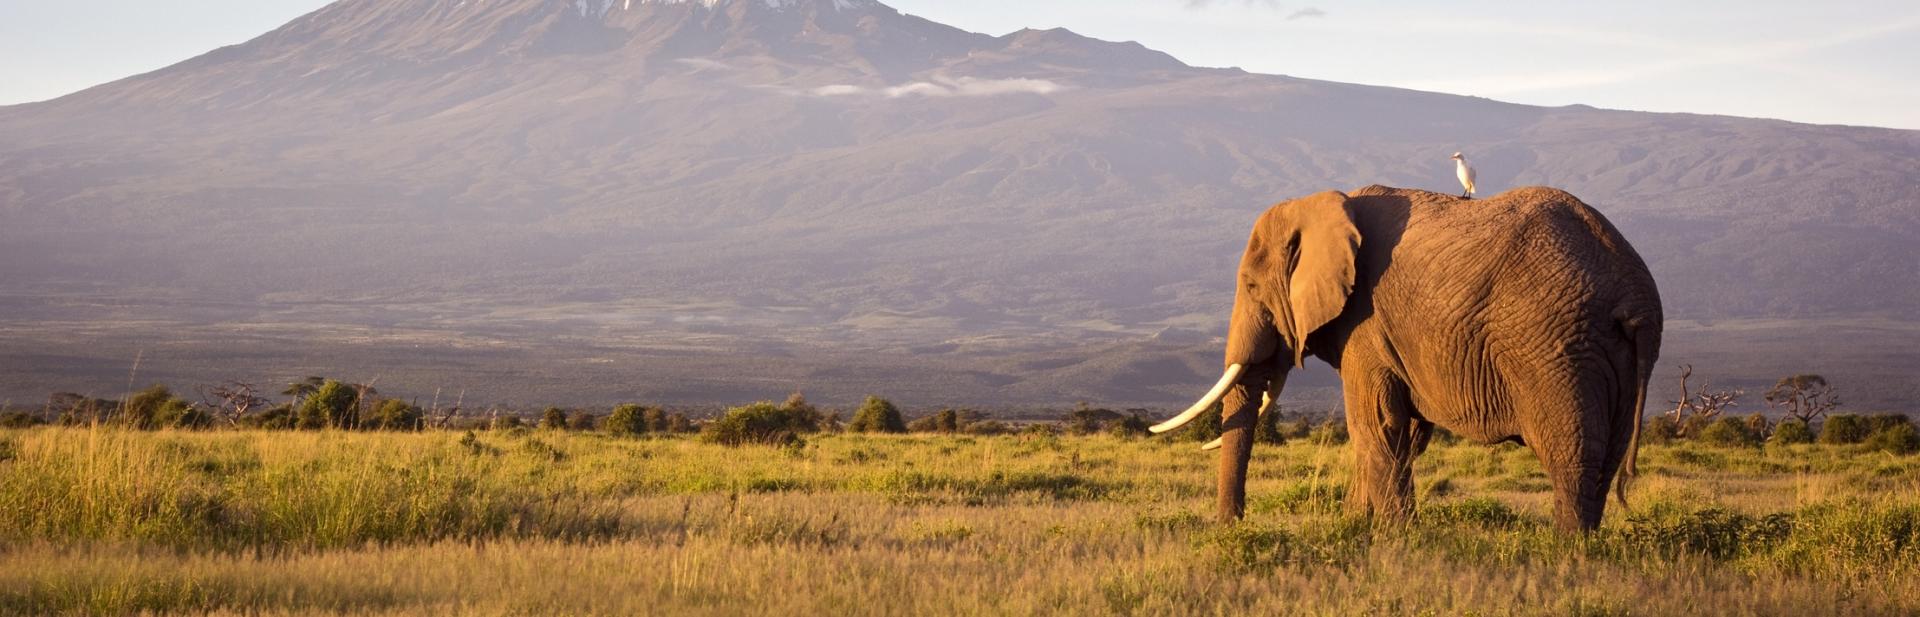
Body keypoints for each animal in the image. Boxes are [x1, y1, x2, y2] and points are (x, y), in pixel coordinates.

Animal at [1152, 185, 1662, 532]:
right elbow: (1403, 434)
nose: (1233, 526)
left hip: (1555, 349)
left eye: (1251, 286)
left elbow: (1375, 425)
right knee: (1607, 457)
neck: (1324, 203)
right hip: (1610, 355)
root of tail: (1634, 294)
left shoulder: (1366, 323)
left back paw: (1565, 551)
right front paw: (1356, 529)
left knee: (1570, 454)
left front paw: (1394, 538)